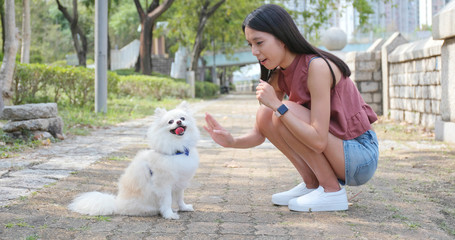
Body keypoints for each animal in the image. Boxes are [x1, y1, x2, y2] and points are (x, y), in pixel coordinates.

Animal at [68, 101, 200, 219]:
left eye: (182, 118)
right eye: (170, 121)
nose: (179, 121)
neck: (177, 150)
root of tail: (116, 204)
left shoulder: (180, 182)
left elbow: (180, 197)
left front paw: (184, 208)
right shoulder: (163, 184)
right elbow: (167, 201)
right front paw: (169, 215)